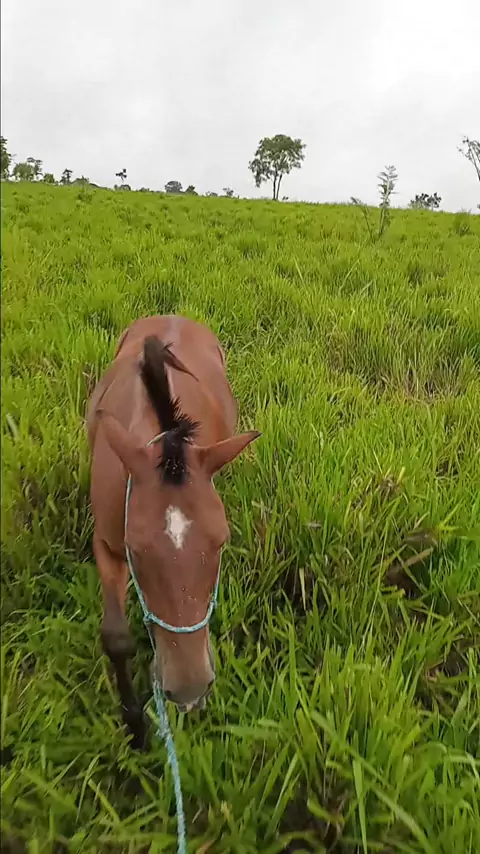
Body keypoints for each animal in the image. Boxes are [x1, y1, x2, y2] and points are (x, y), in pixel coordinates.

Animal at [86, 314, 260, 748]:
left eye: (221, 543)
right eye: (136, 550)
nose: (189, 690)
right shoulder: (107, 545)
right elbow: (115, 636)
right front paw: (135, 727)